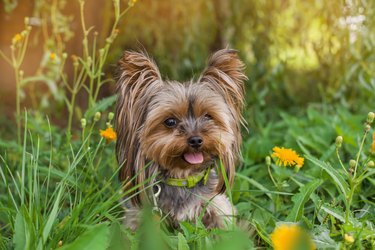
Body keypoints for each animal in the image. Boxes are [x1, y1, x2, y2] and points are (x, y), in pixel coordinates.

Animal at [116, 47, 248, 229]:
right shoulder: (138, 214)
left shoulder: (218, 206)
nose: (196, 140)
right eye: (170, 121)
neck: (183, 178)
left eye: (208, 116)